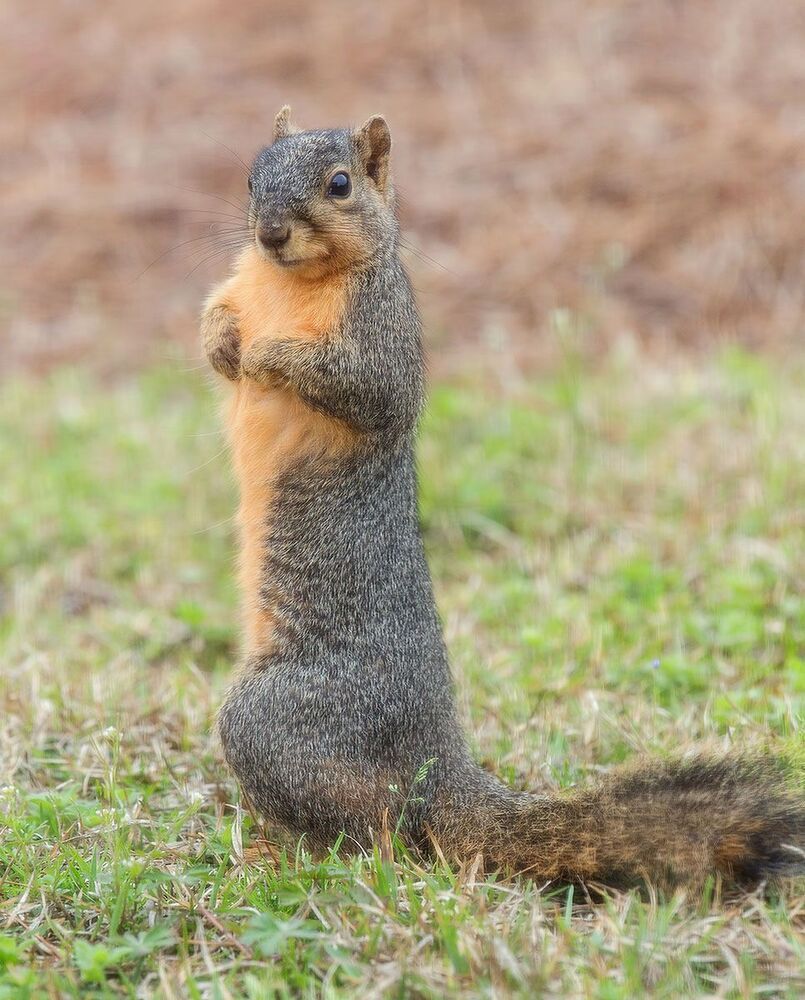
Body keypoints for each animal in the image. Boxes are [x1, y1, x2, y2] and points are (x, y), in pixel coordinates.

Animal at [201, 107, 804, 890]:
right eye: (251, 175)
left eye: (339, 184)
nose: (270, 233)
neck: (287, 282)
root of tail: (435, 766)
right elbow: (217, 319)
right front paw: (222, 340)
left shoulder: (382, 334)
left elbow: (363, 388)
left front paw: (267, 355)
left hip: (277, 718)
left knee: (377, 832)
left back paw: (283, 851)